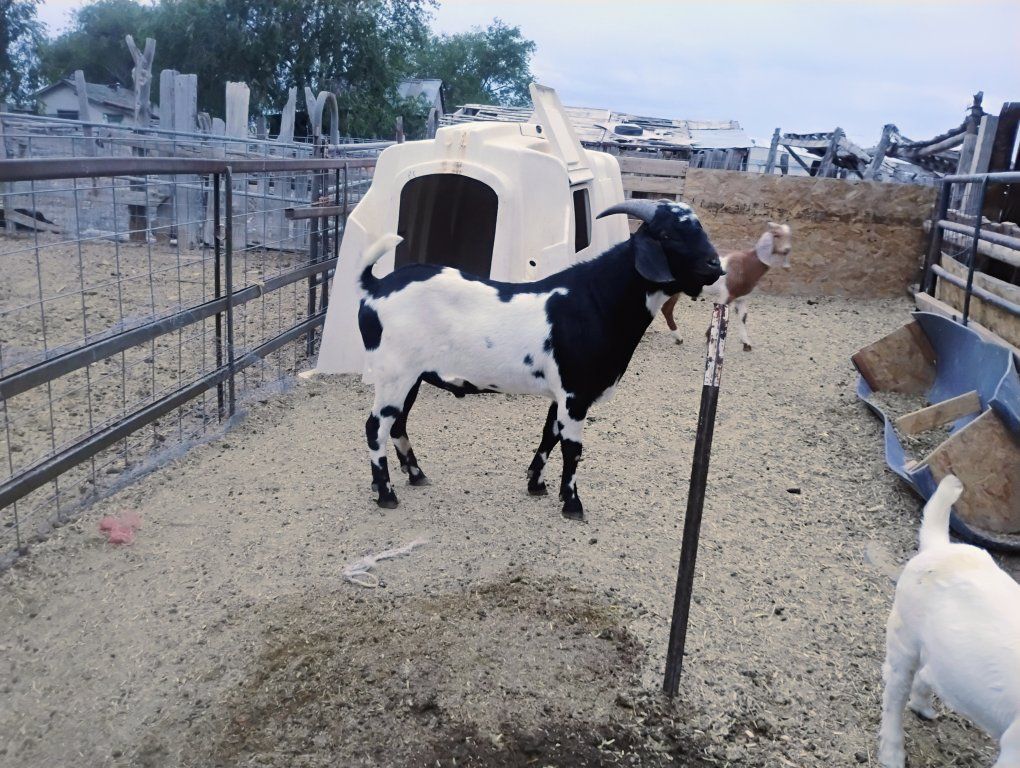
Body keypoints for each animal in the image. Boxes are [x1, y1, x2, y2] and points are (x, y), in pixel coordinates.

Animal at [355, 199, 724, 519]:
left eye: (700, 228)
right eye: (667, 234)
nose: (716, 265)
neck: (594, 300)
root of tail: (375, 287)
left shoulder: (561, 394)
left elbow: (550, 434)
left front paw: (538, 485)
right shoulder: (575, 394)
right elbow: (572, 448)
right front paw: (572, 504)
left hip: (411, 377)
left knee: (397, 423)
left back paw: (415, 475)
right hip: (395, 373)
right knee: (376, 426)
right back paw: (386, 494)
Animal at [660, 221, 792, 351]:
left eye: (789, 235)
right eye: (776, 235)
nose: (787, 249)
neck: (746, 264)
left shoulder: (741, 298)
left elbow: (743, 317)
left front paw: (746, 344)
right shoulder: (727, 294)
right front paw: (709, 337)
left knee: (666, 309)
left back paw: (678, 338)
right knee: (666, 309)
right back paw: (677, 337)